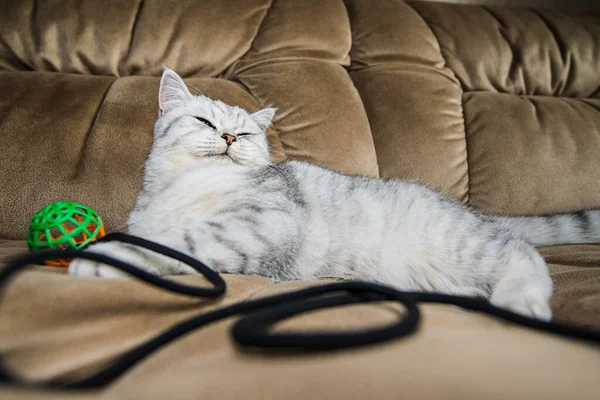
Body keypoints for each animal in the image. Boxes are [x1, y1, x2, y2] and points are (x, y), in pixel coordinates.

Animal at [68, 67, 600, 320]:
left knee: (525, 253)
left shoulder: (263, 223)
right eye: (204, 121)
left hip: (469, 245)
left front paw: (106, 259)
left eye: (247, 133)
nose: (230, 138)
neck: (186, 186)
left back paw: (521, 301)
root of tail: (475, 213)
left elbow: (177, 244)